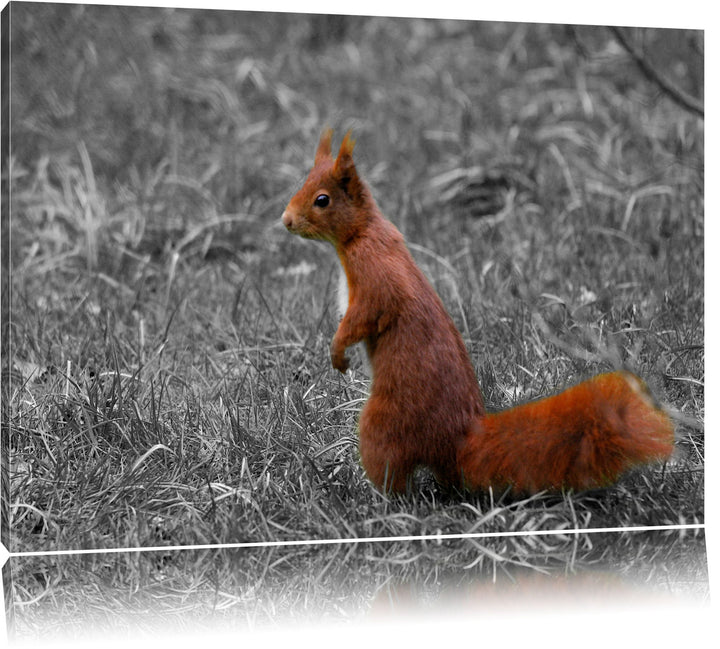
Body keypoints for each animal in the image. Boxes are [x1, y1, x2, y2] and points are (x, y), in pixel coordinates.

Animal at [281, 129, 675, 495]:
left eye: (322, 200)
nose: (285, 220)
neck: (362, 232)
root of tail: (458, 439)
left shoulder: (375, 277)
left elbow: (363, 317)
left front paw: (337, 352)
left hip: (384, 424)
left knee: (393, 473)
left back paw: (377, 499)